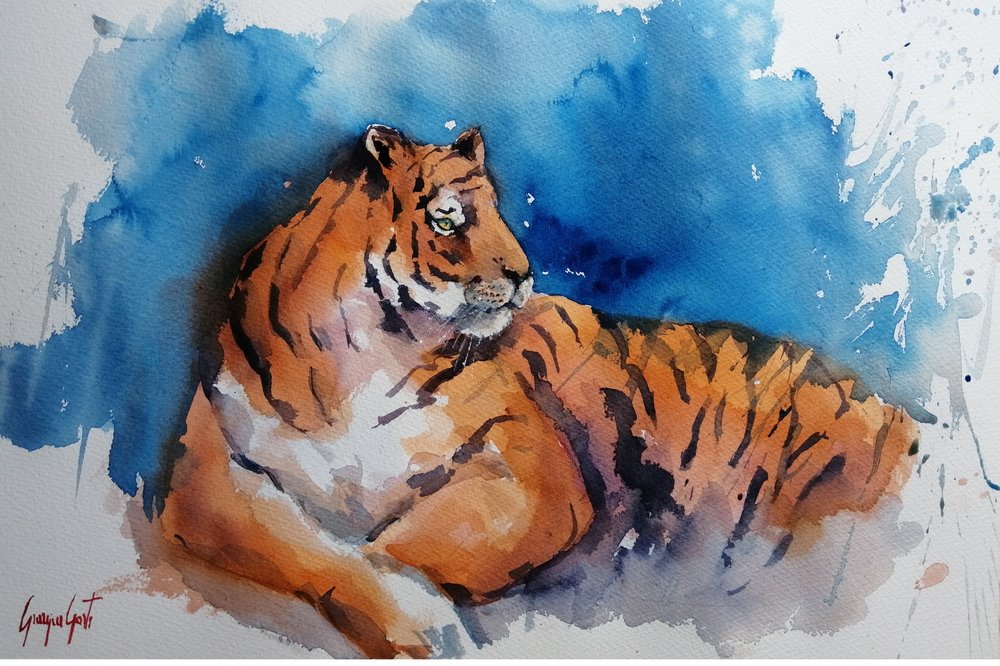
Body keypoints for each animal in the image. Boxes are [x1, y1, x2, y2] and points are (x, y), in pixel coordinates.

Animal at [156, 124, 918, 658]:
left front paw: (430, 617)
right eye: (449, 216)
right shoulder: (206, 481)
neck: (359, 354)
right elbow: (311, 548)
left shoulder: (533, 477)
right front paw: (424, 619)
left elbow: (402, 541)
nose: (525, 275)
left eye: (497, 208)